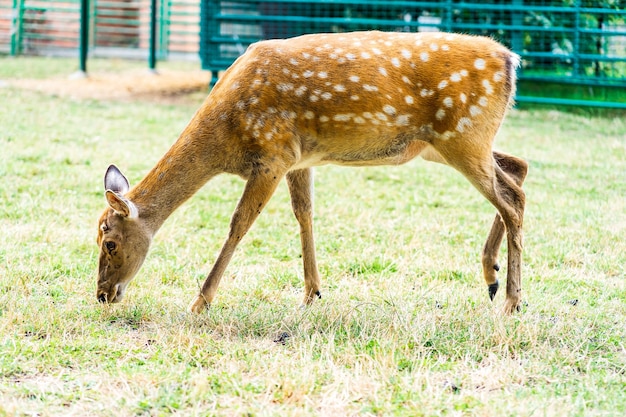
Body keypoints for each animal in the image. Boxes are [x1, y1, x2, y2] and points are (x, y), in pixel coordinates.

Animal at [96, 30, 528, 314]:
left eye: (110, 243)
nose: (102, 294)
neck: (226, 138)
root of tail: (511, 60)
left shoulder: (272, 153)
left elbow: (239, 224)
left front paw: (200, 302)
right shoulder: (298, 159)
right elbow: (304, 213)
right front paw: (311, 293)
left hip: (463, 135)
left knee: (512, 199)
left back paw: (510, 300)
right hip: (444, 145)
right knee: (519, 169)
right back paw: (491, 277)